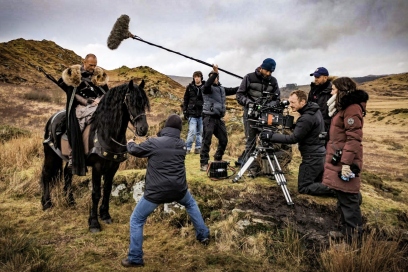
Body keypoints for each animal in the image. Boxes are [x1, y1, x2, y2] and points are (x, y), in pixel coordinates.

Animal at [39, 79, 150, 233]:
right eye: (130, 101)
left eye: (144, 102)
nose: (143, 129)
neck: (107, 132)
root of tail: (51, 119)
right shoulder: (97, 167)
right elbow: (96, 193)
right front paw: (93, 223)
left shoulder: (113, 167)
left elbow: (107, 190)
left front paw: (105, 215)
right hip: (50, 154)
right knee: (46, 174)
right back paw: (47, 203)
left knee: (67, 174)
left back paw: (70, 201)